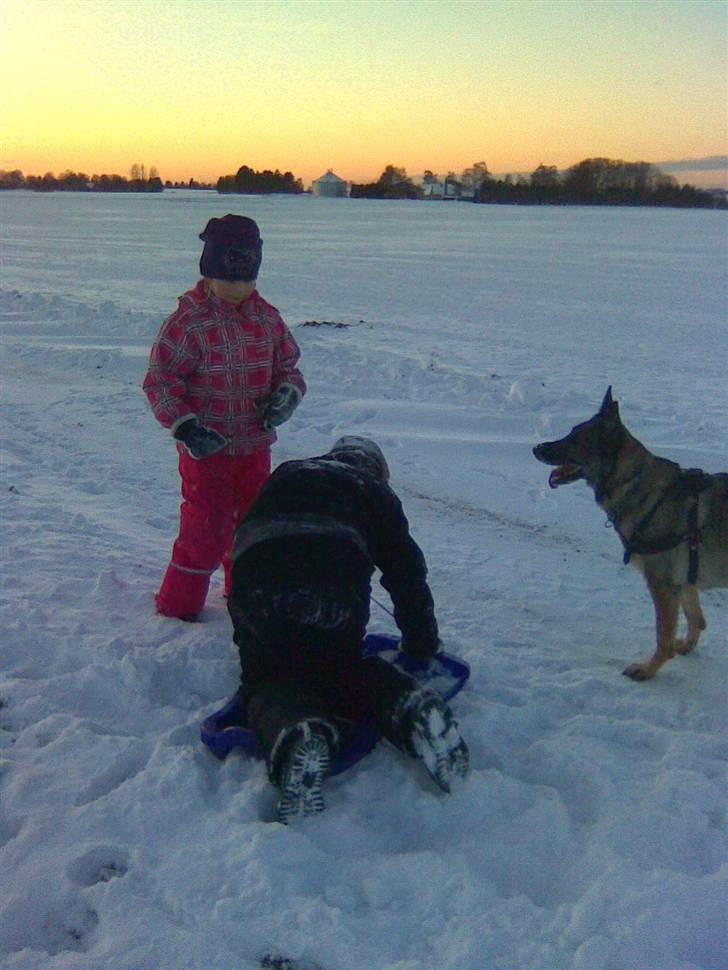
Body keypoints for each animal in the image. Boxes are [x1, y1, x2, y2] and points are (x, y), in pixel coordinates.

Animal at [532, 388, 724, 680]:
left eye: (574, 438)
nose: (536, 448)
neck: (633, 480)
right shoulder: (682, 580)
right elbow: (695, 617)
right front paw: (686, 646)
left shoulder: (662, 583)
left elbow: (663, 635)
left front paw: (648, 670)